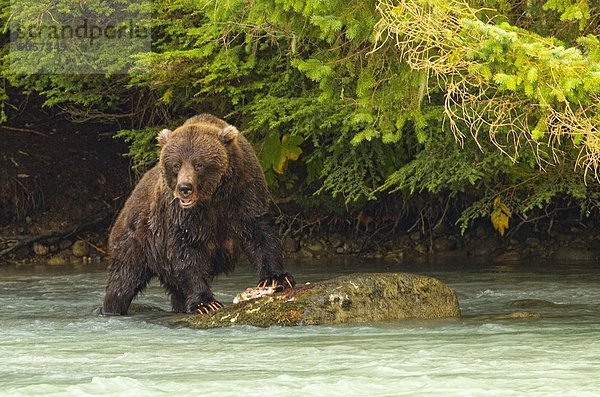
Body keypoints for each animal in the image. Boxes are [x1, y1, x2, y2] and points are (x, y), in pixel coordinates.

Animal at [103, 113, 296, 314]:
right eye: (176, 165)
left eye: (199, 164)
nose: (184, 188)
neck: (213, 196)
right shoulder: (181, 216)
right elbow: (187, 252)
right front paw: (205, 303)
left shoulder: (243, 189)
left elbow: (259, 230)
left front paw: (275, 278)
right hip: (137, 239)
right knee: (123, 281)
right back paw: (112, 308)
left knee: (173, 289)